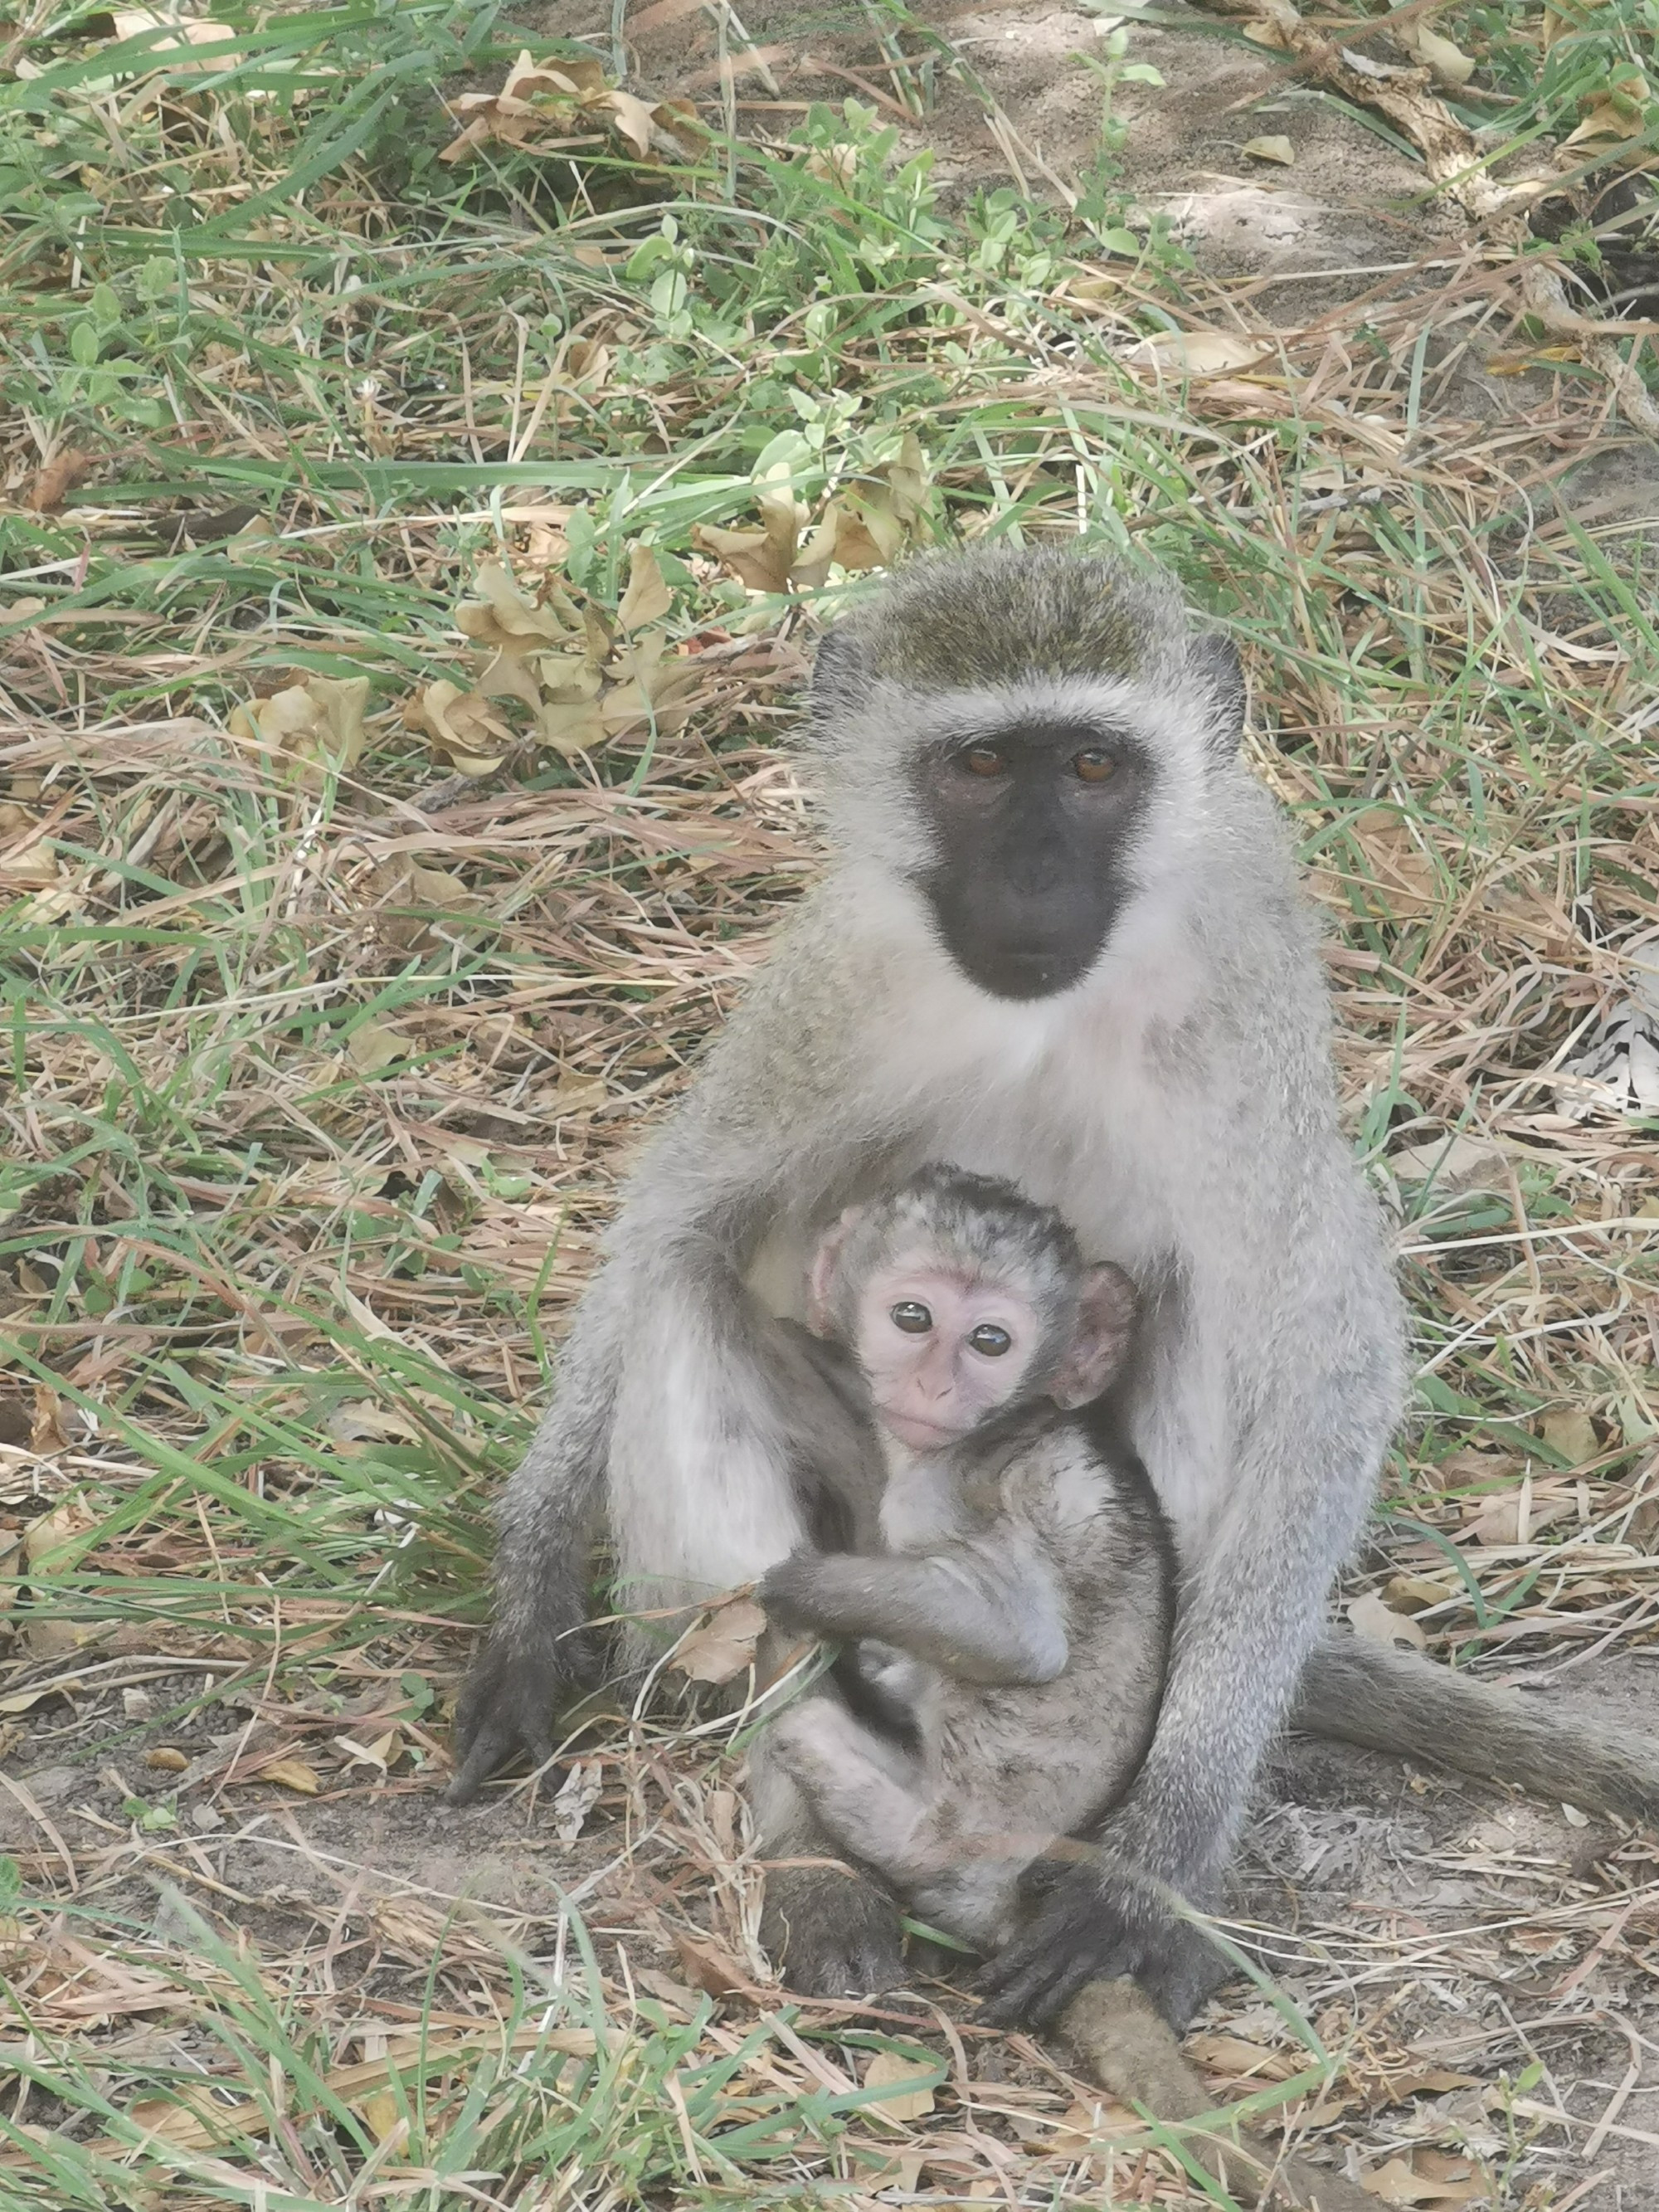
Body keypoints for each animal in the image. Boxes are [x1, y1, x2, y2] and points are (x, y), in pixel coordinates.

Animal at [761, 1167, 1176, 1946]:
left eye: (990, 1340)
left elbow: (1025, 1639)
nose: (934, 1385)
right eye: (913, 1318)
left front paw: (800, 1587)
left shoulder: (937, 1490)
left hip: (949, 1838)